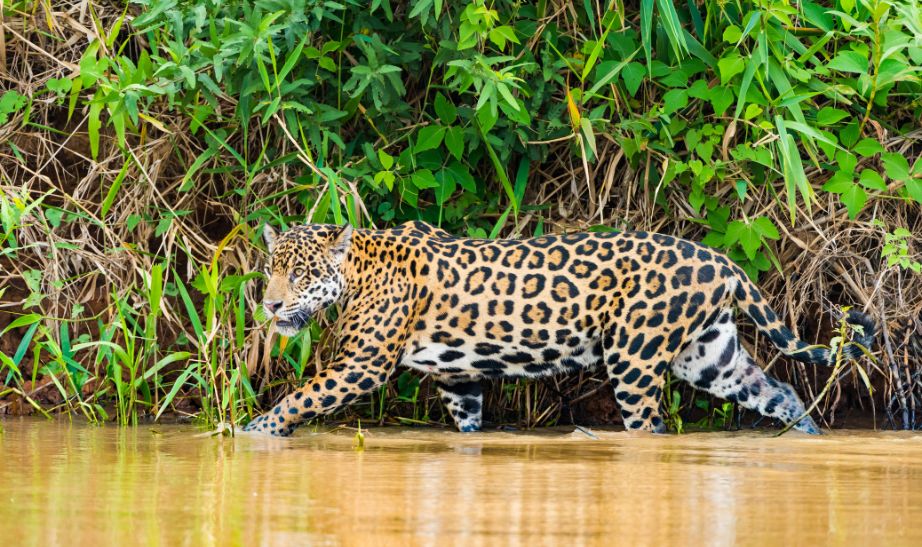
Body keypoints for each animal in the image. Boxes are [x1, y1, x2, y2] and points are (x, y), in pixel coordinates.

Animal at [243, 220, 875, 436]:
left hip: (635, 357)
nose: (270, 308)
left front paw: (251, 433)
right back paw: (807, 437)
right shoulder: (457, 377)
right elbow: (467, 423)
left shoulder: (361, 364)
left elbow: (300, 398)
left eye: (300, 274)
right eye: (271, 268)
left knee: (650, 427)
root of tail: (721, 260)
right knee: (777, 390)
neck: (358, 269)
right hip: (709, 356)